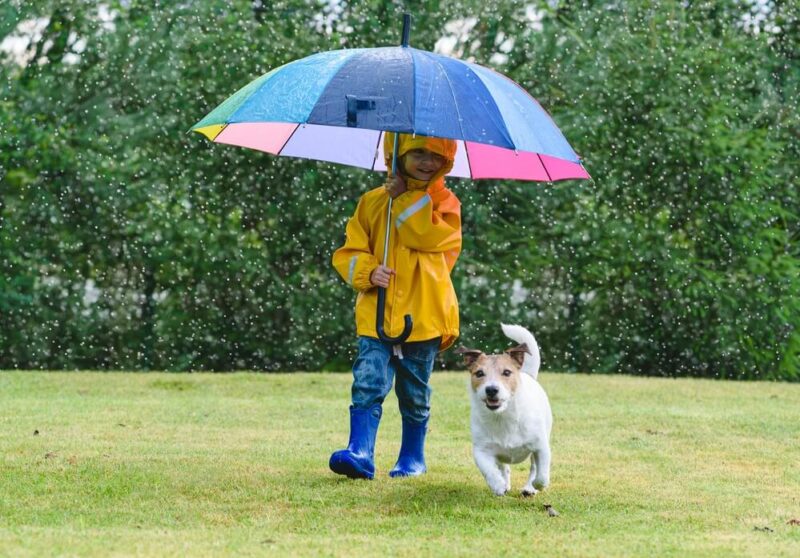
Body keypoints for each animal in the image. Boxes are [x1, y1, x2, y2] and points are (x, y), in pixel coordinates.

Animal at [460, 324, 552, 498]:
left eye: (507, 372)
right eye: (479, 373)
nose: (491, 389)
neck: (502, 417)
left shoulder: (540, 446)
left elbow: (541, 473)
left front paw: (536, 485)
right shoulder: (482, 450)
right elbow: (489, 470)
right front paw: (498, 485)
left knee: (533, 467)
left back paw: (529, 487)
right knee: (503, 467)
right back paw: (505, 482)